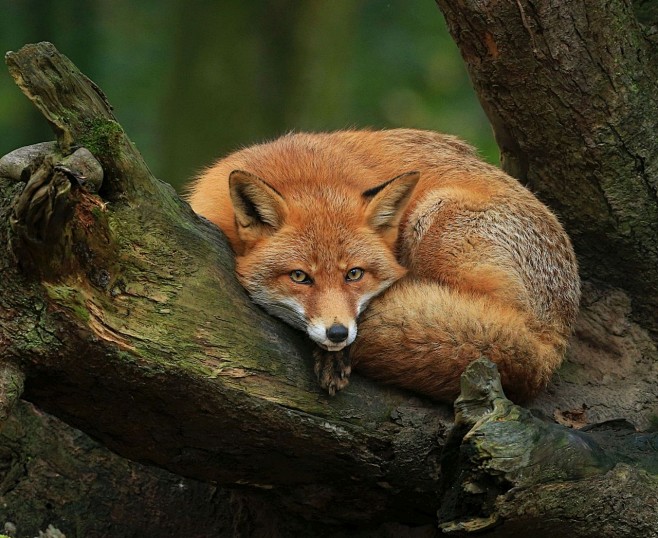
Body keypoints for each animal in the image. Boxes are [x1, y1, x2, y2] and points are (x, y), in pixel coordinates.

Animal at [186, 127, 580, 400]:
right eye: (299, 276)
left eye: (354, 274)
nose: (337, 333)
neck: (303, 172)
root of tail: (550, 348)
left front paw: (337, 356)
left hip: (433, 219)